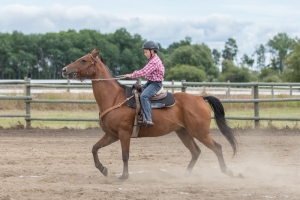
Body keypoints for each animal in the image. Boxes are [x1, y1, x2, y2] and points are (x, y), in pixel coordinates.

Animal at [62, 48, 238, 181]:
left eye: (83, 60)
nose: (64, 70)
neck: (114, 98)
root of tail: (200, 98)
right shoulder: (111, 134)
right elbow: (94, 148)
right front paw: (103, 169)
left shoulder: (123, 133)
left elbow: (125, 155)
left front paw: (123, 176)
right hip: (183, 132)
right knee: (196, 151)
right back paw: (185, 174)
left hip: (200, 132)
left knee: (217, 148)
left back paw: (228, 172)